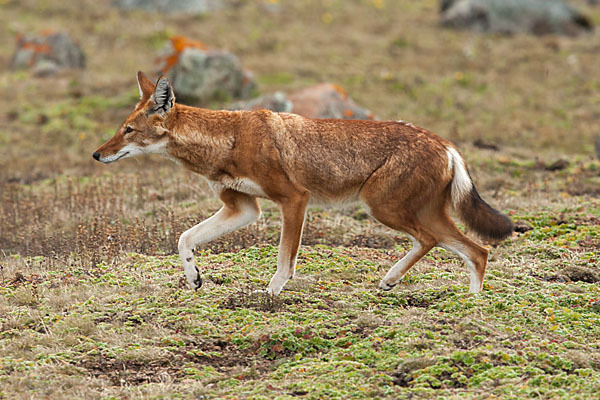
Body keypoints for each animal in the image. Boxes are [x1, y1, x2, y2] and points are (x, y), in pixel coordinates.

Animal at [92, 72, 510, 296]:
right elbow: (184, 238)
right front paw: (194, 278)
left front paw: (270, 294)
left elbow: (284, 260)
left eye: (127, 130)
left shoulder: (294, 200)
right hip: (409, 212)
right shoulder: (243, 209)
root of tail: (446, 144)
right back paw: (448, 297)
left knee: (446, 243)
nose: (96, 155)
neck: (229, 140)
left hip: (383, 208)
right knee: (476, 250)